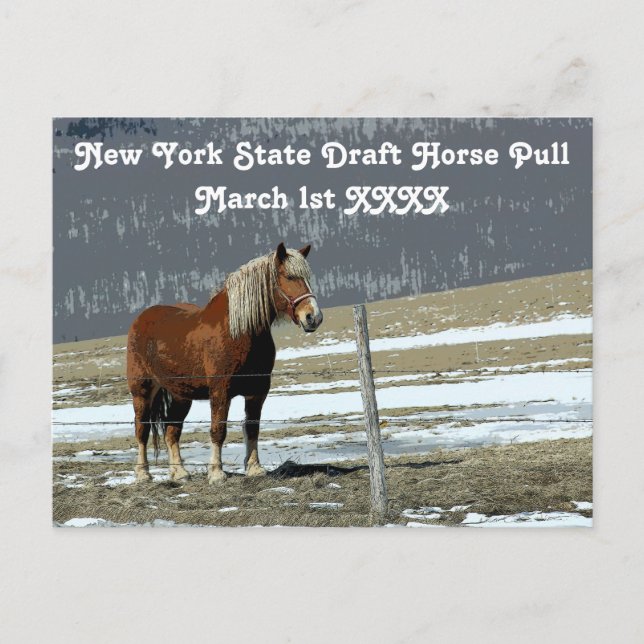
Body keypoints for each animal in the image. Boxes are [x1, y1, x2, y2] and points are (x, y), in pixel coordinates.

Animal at [126, 242, 323, 484]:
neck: (239, 332)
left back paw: (179, 473)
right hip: (142, 390)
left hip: (181, 394)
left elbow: (252, 428)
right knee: (141, 429)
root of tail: (141, 319)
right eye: (288, 276)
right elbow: (218, 430)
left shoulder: (258, 391)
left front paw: (254, 468)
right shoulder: (220, 391)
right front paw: (217, 473)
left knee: (172, 429)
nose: (313, 317)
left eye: (307, 277)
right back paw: (143, 473)